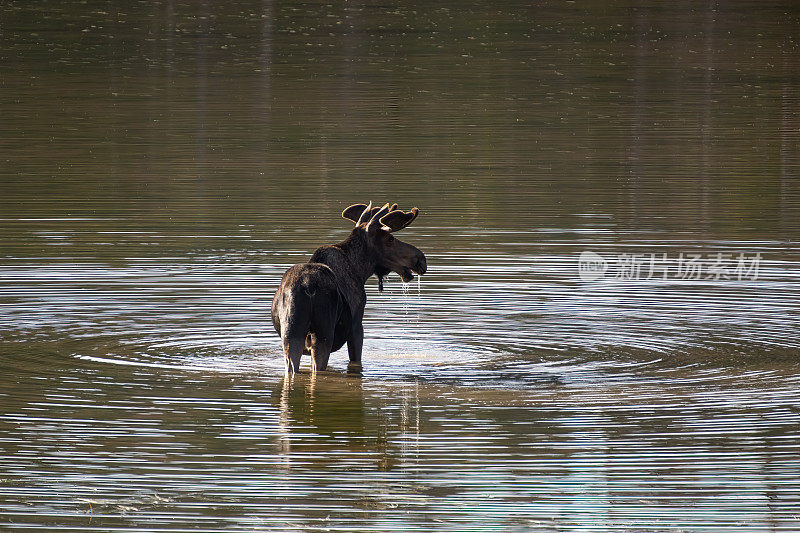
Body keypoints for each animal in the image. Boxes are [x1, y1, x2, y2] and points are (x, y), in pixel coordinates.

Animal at [272, 203, 428, 374]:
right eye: (390, 239)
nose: (421, 259)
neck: (360, 269)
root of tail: (307, 285)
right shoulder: (356, 326)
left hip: (291, 333)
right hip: (323, 334)